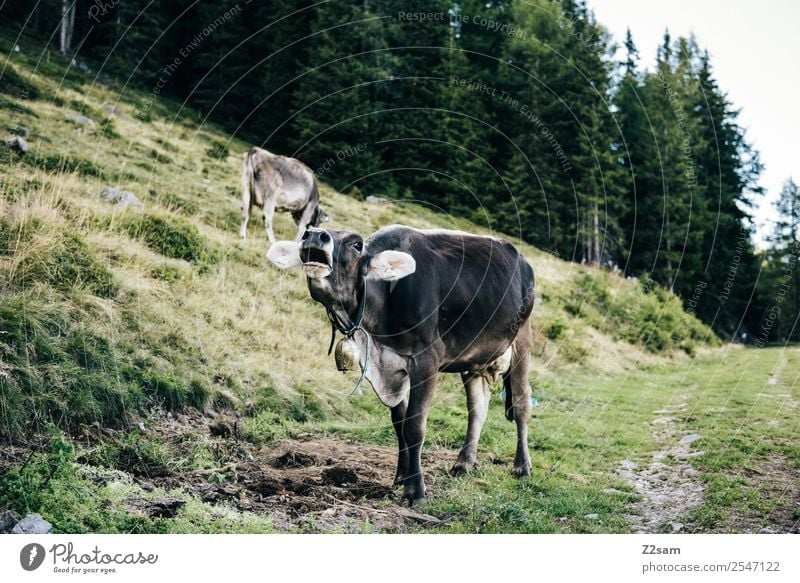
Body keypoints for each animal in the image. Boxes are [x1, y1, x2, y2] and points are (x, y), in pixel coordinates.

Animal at [268, 225, 536, 506]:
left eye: (356, 244)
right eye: (308, 230)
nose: (315, 235)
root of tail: (521, 259)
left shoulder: (426, 360)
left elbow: (414, 425)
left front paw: (415, 490)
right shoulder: (390, 364)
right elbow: (399, 421)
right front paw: (401, 475)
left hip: (522, 339)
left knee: (521, 404)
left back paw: (521, 466)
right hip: (474, 359)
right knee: (477, 408)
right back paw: (464, 463)